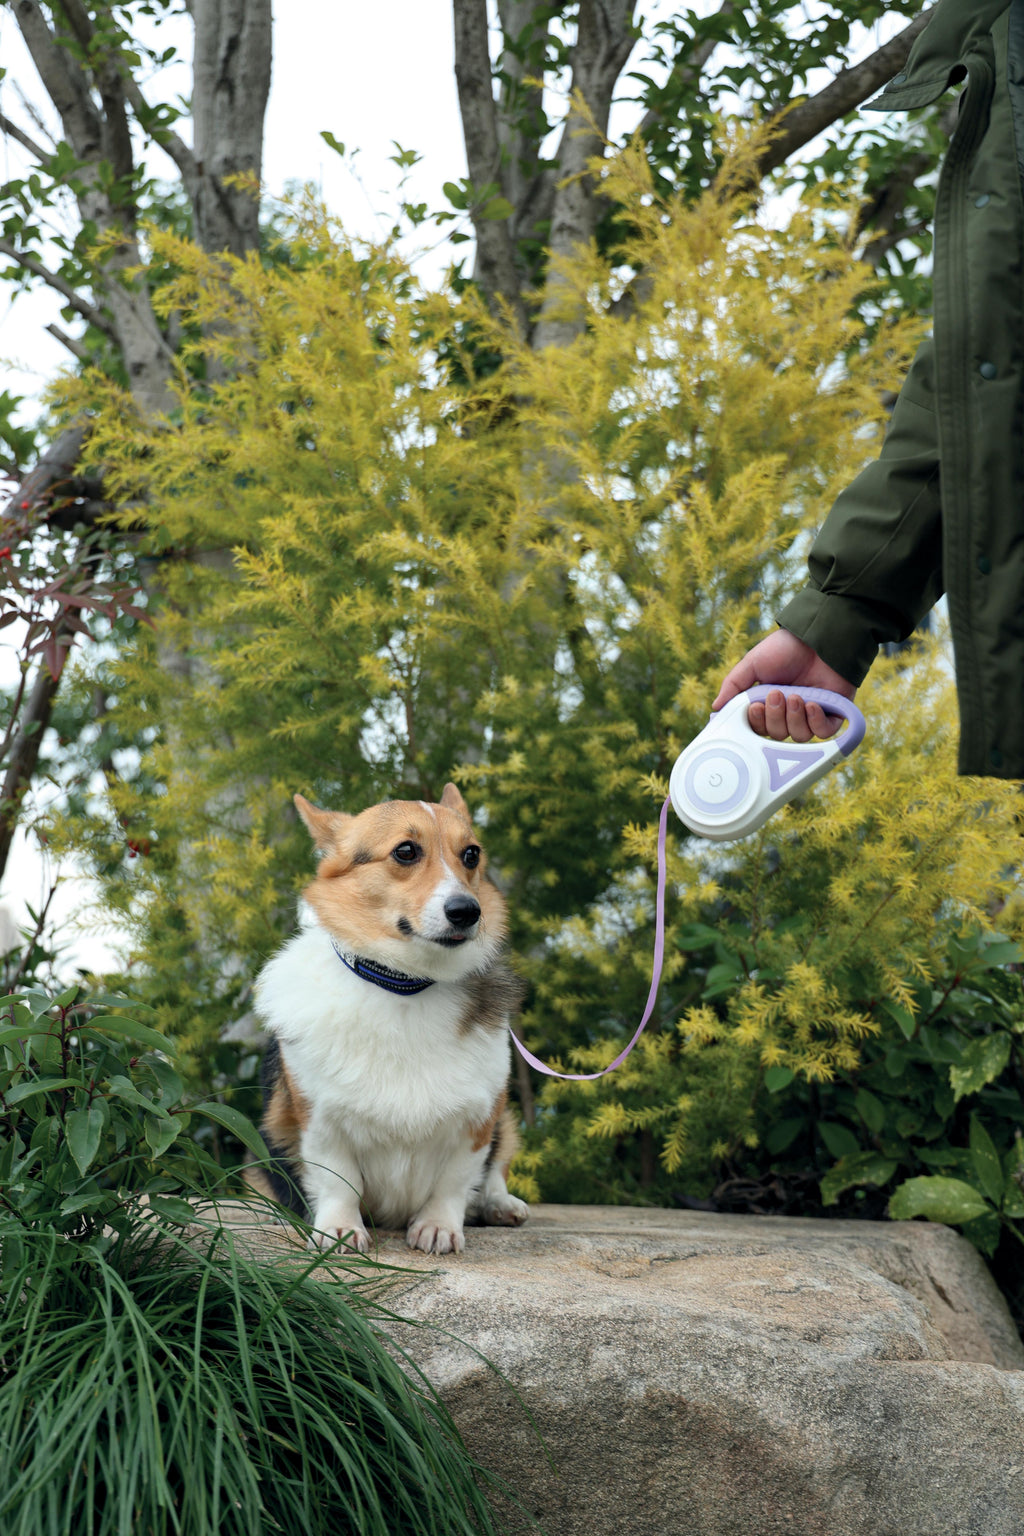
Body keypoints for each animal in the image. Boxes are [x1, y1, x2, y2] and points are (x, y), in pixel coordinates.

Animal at [247, 786, 528, 1253]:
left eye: (471, 855)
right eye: (406, 851)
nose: (468, 911)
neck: (404, 983)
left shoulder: (479, 1120)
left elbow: (455, 1181)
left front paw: (438, 1227)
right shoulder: (319, 1120)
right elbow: (338, 1181)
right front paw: (340, 1231)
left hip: (505, 1123)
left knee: (494, 1175)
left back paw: (501, 1206)